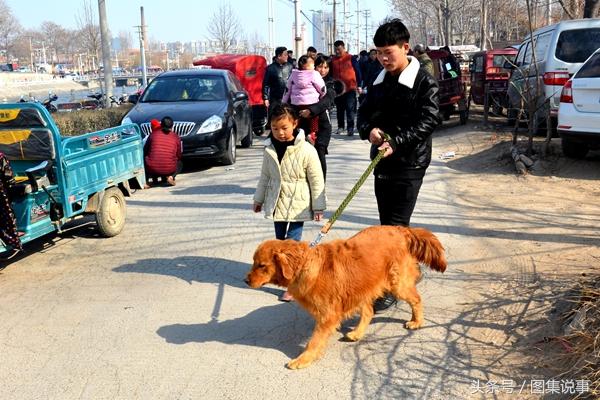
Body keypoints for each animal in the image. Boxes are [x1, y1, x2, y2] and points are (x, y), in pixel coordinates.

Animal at [244, 225, 446, 368]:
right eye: (254, 262)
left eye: (261, 265)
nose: (245, 280)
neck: (305, 265)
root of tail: (401, 229)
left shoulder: (328, 316)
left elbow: (314, 341)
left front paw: (303, 359)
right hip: (359, 288)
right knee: (369, 311)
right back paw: (357, 333)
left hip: (397, 285)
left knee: (416, 300)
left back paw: (416, 321)